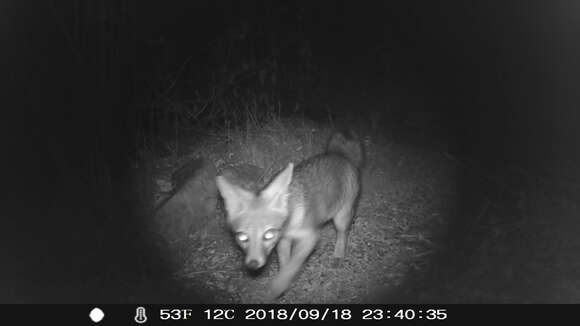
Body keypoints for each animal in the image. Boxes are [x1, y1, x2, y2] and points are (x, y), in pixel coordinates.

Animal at [216, 131, 362, 300]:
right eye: (242, 237)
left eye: (268, 235)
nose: (253, 263)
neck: (291, 221)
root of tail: (339, 155)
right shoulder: (283, 242)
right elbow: (285, 265)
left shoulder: (309, 239)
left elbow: (291, 268)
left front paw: (278, 288)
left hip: (340, 219)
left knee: (343, 234)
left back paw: (338, 255)